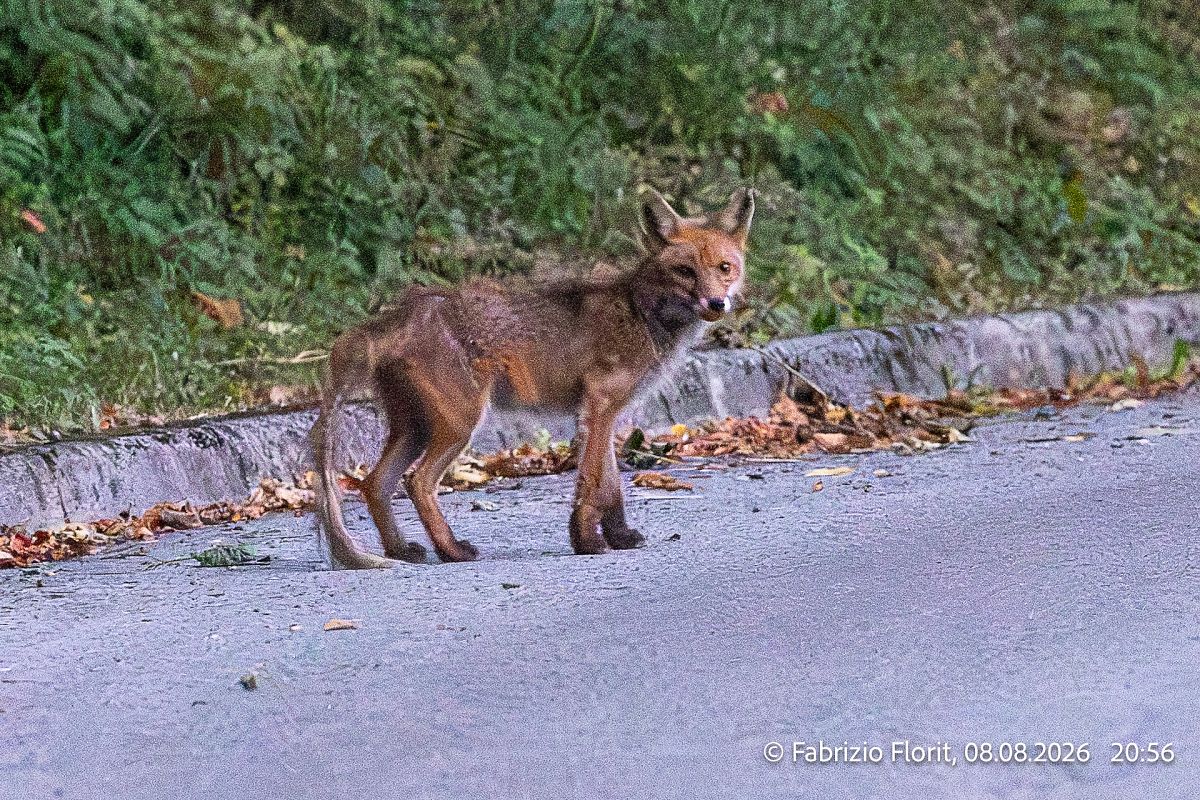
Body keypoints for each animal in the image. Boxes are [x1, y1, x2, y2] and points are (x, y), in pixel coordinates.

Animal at [310, 187, 755, 568]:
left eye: (724, 268)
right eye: (685, 271)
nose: (717, 303)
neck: (640, 312)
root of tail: (404, 309)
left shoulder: (606, 413)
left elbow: (611, 486)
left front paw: (619, 536)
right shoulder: (598, 407)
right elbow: (592, 483)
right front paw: (587, 542)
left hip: (415, 428)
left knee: (374, 484)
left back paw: (401, 550)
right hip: (459, 424)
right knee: (417, 483)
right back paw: (452, 551)